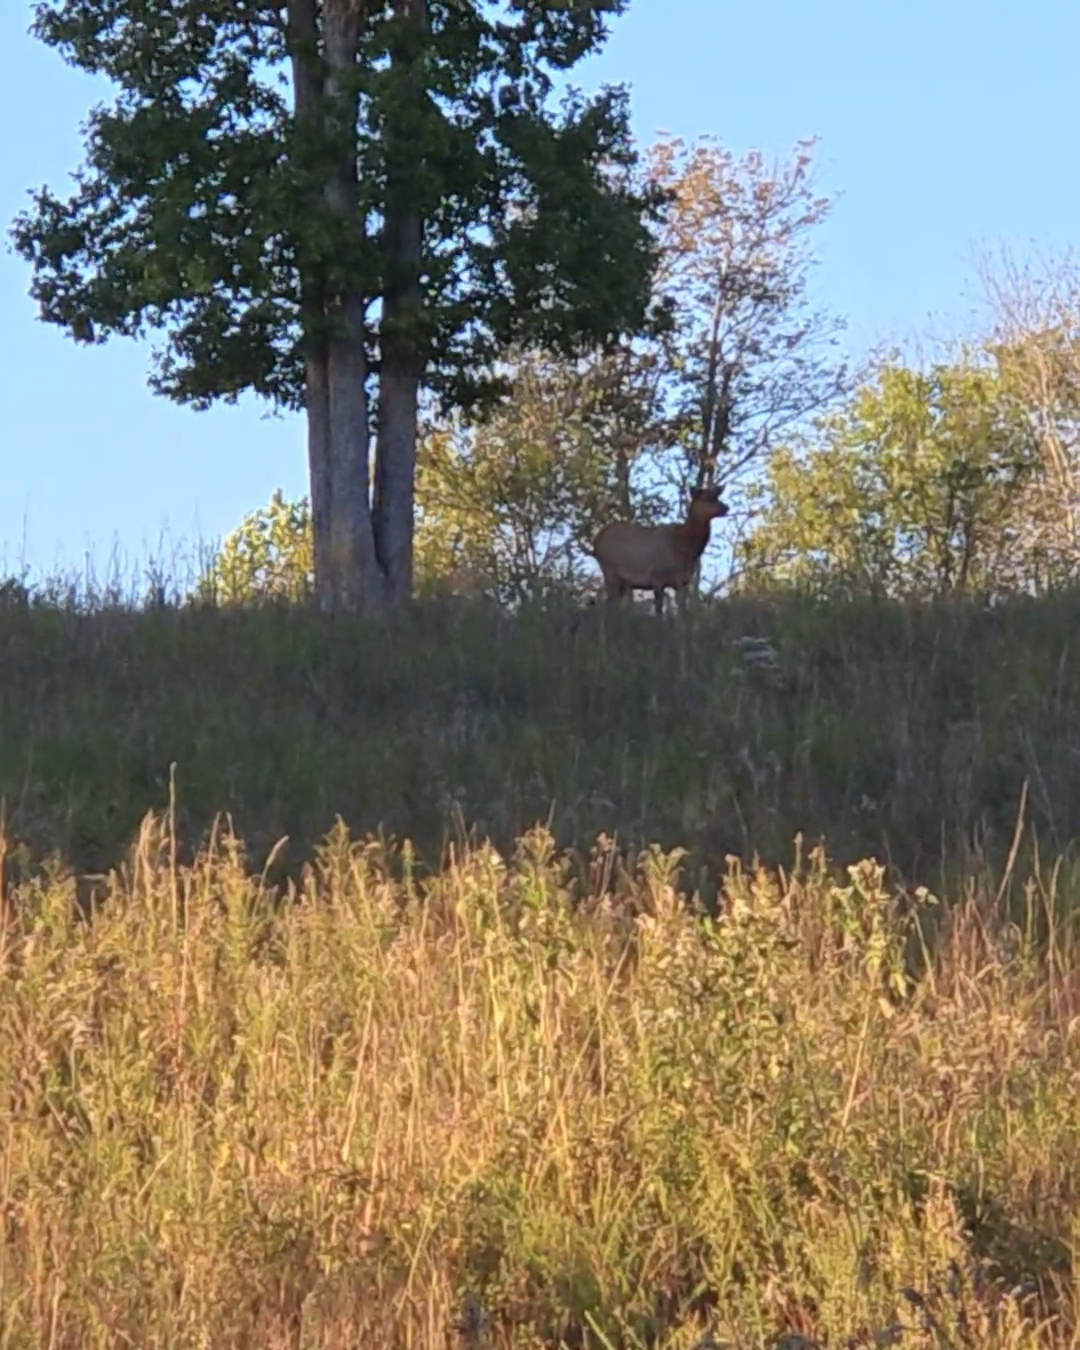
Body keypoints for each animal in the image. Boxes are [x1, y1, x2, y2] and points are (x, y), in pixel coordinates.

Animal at [591, 484, 729, 615]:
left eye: (717, 496)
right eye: (707, 498)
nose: (726, 507)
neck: (687, 548)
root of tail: (596, 542)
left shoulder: (683, 581)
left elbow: (682, 608)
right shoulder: (657, 577)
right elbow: (659, 609)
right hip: (610, 569)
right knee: (606, 599)